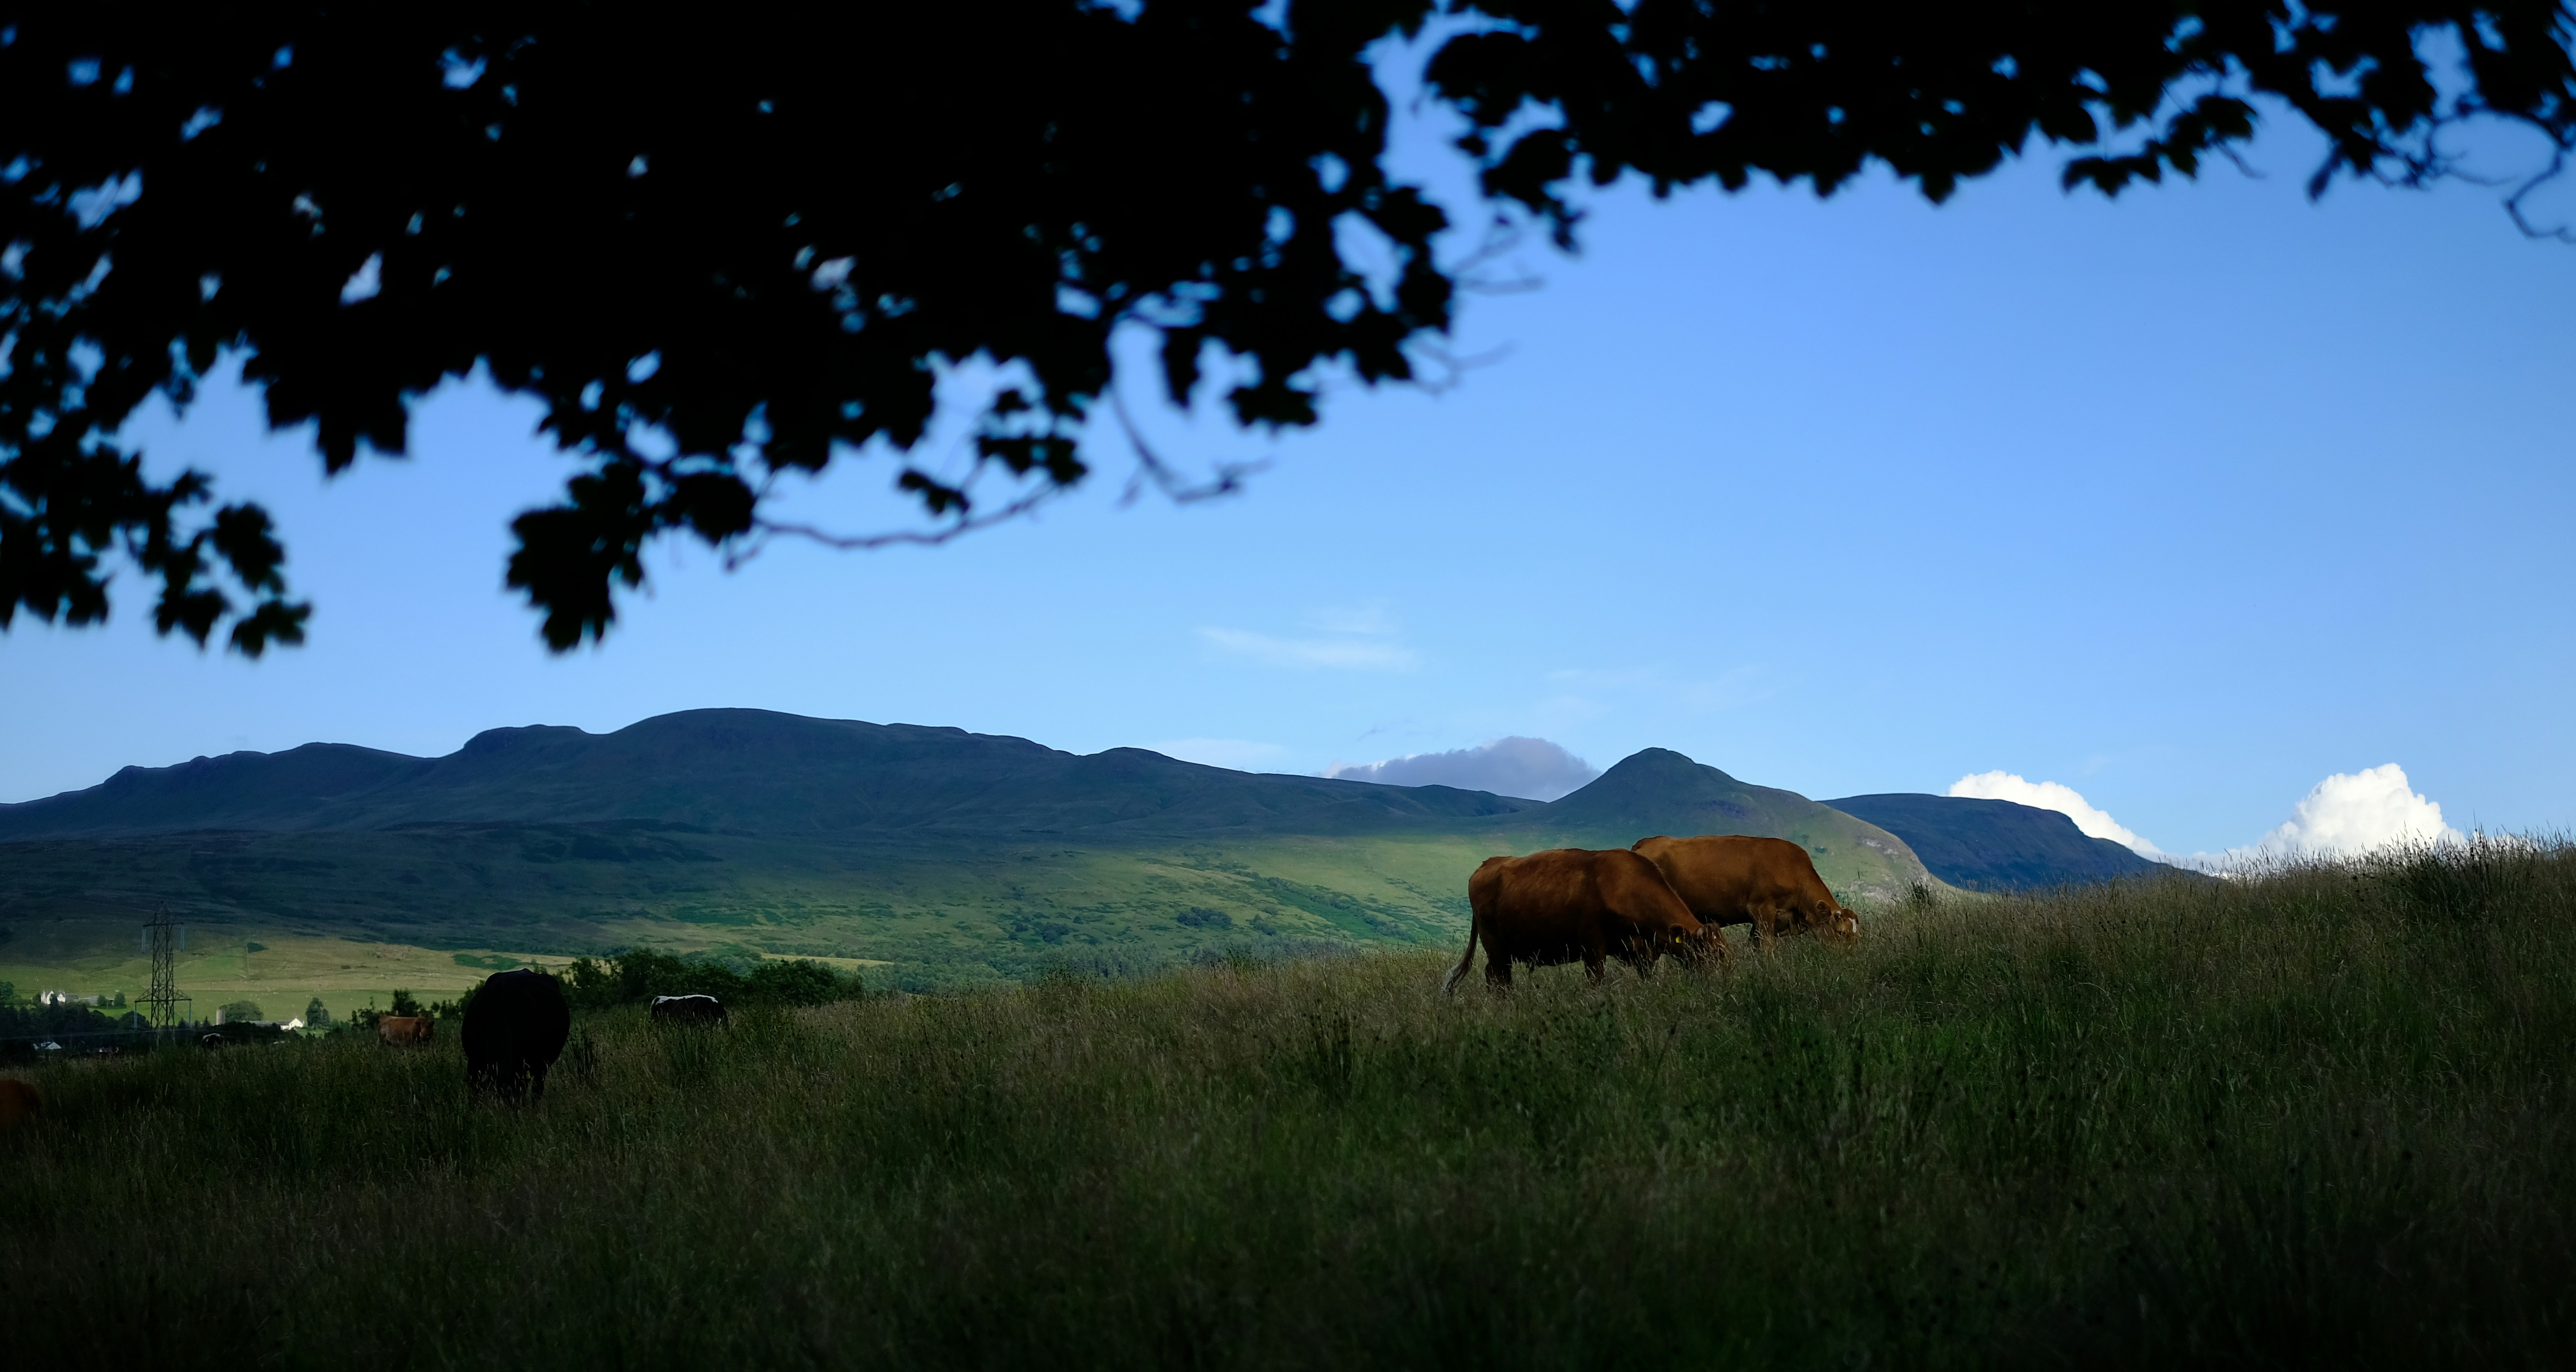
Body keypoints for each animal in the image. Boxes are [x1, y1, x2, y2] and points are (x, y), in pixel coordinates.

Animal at [1443, 847, 1721, 994]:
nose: (1725, 981)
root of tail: (1486, 865)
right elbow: (1596, 982)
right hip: (1496, 947)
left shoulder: (1643, 953)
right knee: (1498, 978)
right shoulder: (1594, 951)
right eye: (1712, 954)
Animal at [1631, 835, 1861, 951]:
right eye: (1841, 933)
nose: (1850, 958)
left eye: (1856, 936)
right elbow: (1767, 949)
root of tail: (1650, 841)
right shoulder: (1762, 909)